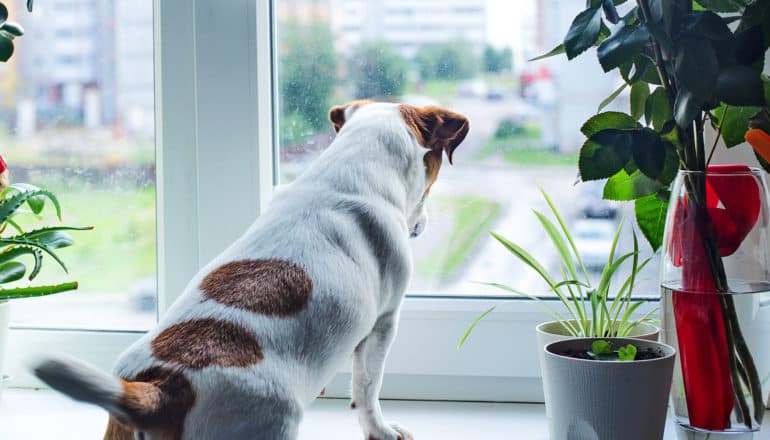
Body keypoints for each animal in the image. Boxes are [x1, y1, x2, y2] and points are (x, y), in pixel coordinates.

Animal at [31, 100, 468, 440]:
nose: (422, 224)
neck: (349, 173)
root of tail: (162, 386)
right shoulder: (382, 325)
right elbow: (367, 391)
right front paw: (381, 430)